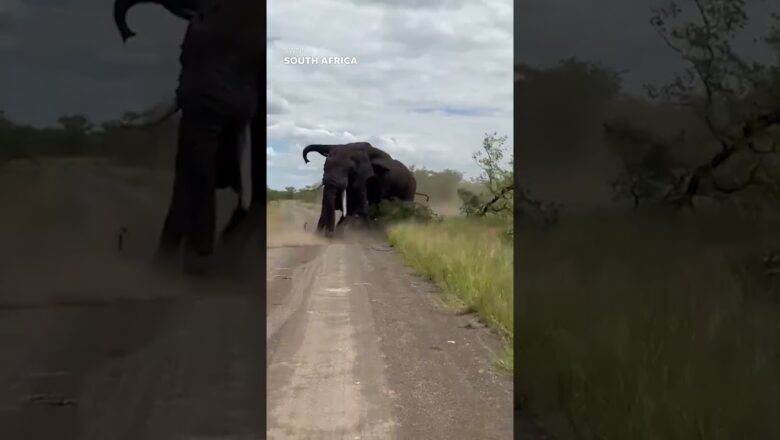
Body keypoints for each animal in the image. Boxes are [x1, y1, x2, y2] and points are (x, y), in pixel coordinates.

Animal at [113, 0, 266, 276]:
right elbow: (184, 179)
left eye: (261, 62)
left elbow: (253, 199)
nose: (203, 253)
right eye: (183, 51)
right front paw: (162, 272)